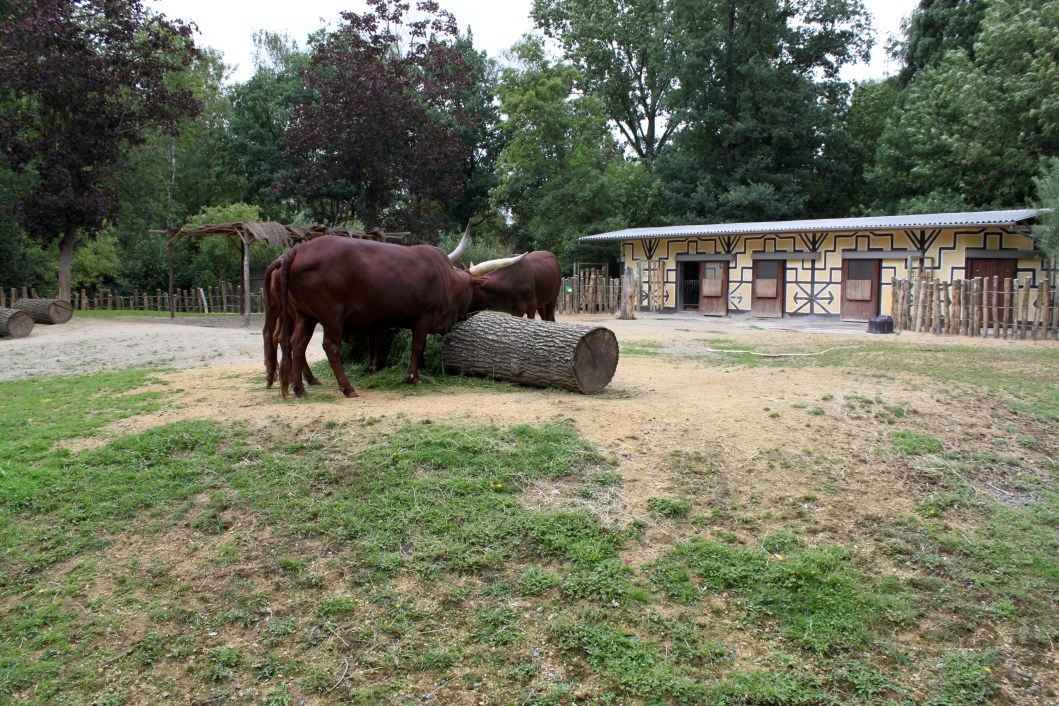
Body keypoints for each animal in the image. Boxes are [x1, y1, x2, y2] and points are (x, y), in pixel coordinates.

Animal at [275, 234, 523, 398]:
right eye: (474, 289)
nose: (470, 313)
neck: (447, 279)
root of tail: (297, 251)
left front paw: (421, 368)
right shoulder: (423, 318)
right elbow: (418, 345)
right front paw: (414, 377)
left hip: (305, 315)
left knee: (297, 344)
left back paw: (300, 388)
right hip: (331, 317)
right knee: (330, 347)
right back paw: (347, 388)